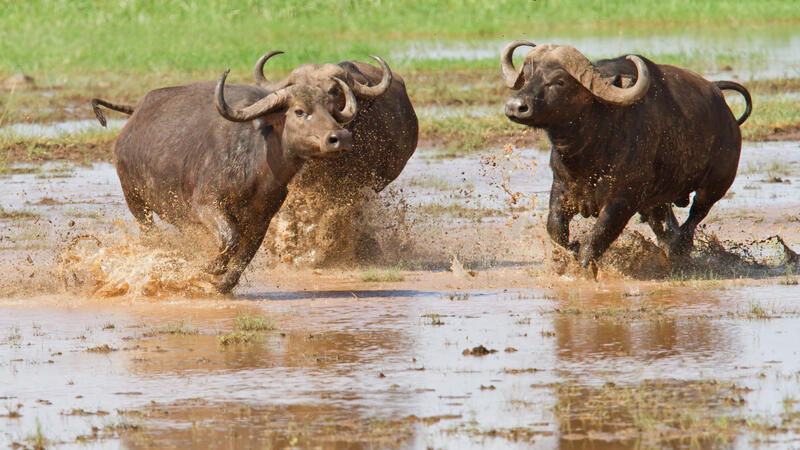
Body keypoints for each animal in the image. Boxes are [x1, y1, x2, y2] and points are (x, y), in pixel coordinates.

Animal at [91, 70, 360, 292]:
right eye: (299, 111)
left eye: (331, 110)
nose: (341, 137)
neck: (258, 164)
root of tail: (134, 118)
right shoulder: (206, 205)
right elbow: (230, 238)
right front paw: (210, 267)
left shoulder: (262, 219)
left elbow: (244, 255)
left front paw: (222, 283)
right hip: (135, 199)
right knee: (149, 233)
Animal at [255, 52, 418, 264]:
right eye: (297, 87)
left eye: (333, 90)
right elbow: (289, 212)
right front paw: (289, 247)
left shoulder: (353, 186)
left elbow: (334, 214)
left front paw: (321, 249)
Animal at [500, 42, 752, 276]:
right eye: (527, 77)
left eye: (559, 81)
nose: (515, 106)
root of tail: (723, 105)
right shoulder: (562, 188)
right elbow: (556, 230)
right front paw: (569, 253)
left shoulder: (622, 200)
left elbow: (597, 238)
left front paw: (584, 270)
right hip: (655, 200)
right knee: (664, 225)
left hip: (715, 186)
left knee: (693, 217)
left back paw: (680, 250)